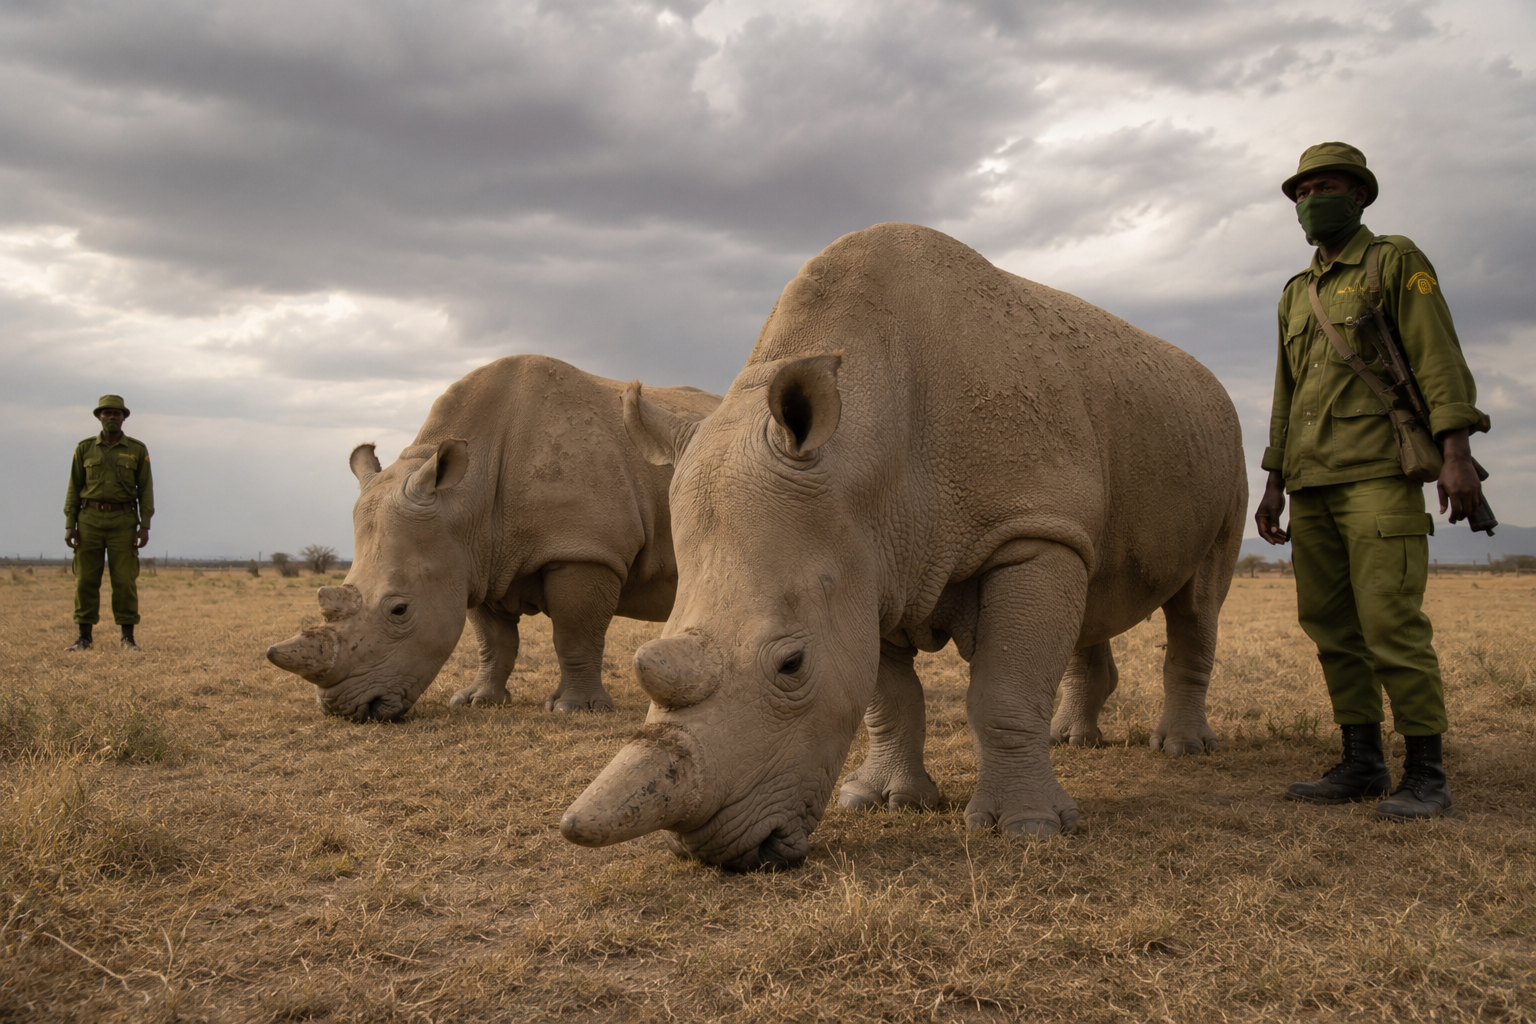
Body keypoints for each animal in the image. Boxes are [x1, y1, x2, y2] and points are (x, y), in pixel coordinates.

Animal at [265, 354, 721, 721]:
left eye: (399, 610)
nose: (343, 709)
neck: (465, 498)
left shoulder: (586, 550)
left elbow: (574, 634)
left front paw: (575, 709)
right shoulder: (475, 557)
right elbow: (493, 641)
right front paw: (478, 701)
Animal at [560, 223, 1246, 870]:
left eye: (792, 665)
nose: (717, 852)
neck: (866, 453)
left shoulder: (1023, 531)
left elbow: (1004, 687)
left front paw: (1028, 829)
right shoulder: (869, 559)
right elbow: (888, 697)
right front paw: (884, 801)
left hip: (1224, 444)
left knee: (1198, 602)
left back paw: (1182, 749)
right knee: (1090, 581)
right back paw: (1073, 742)